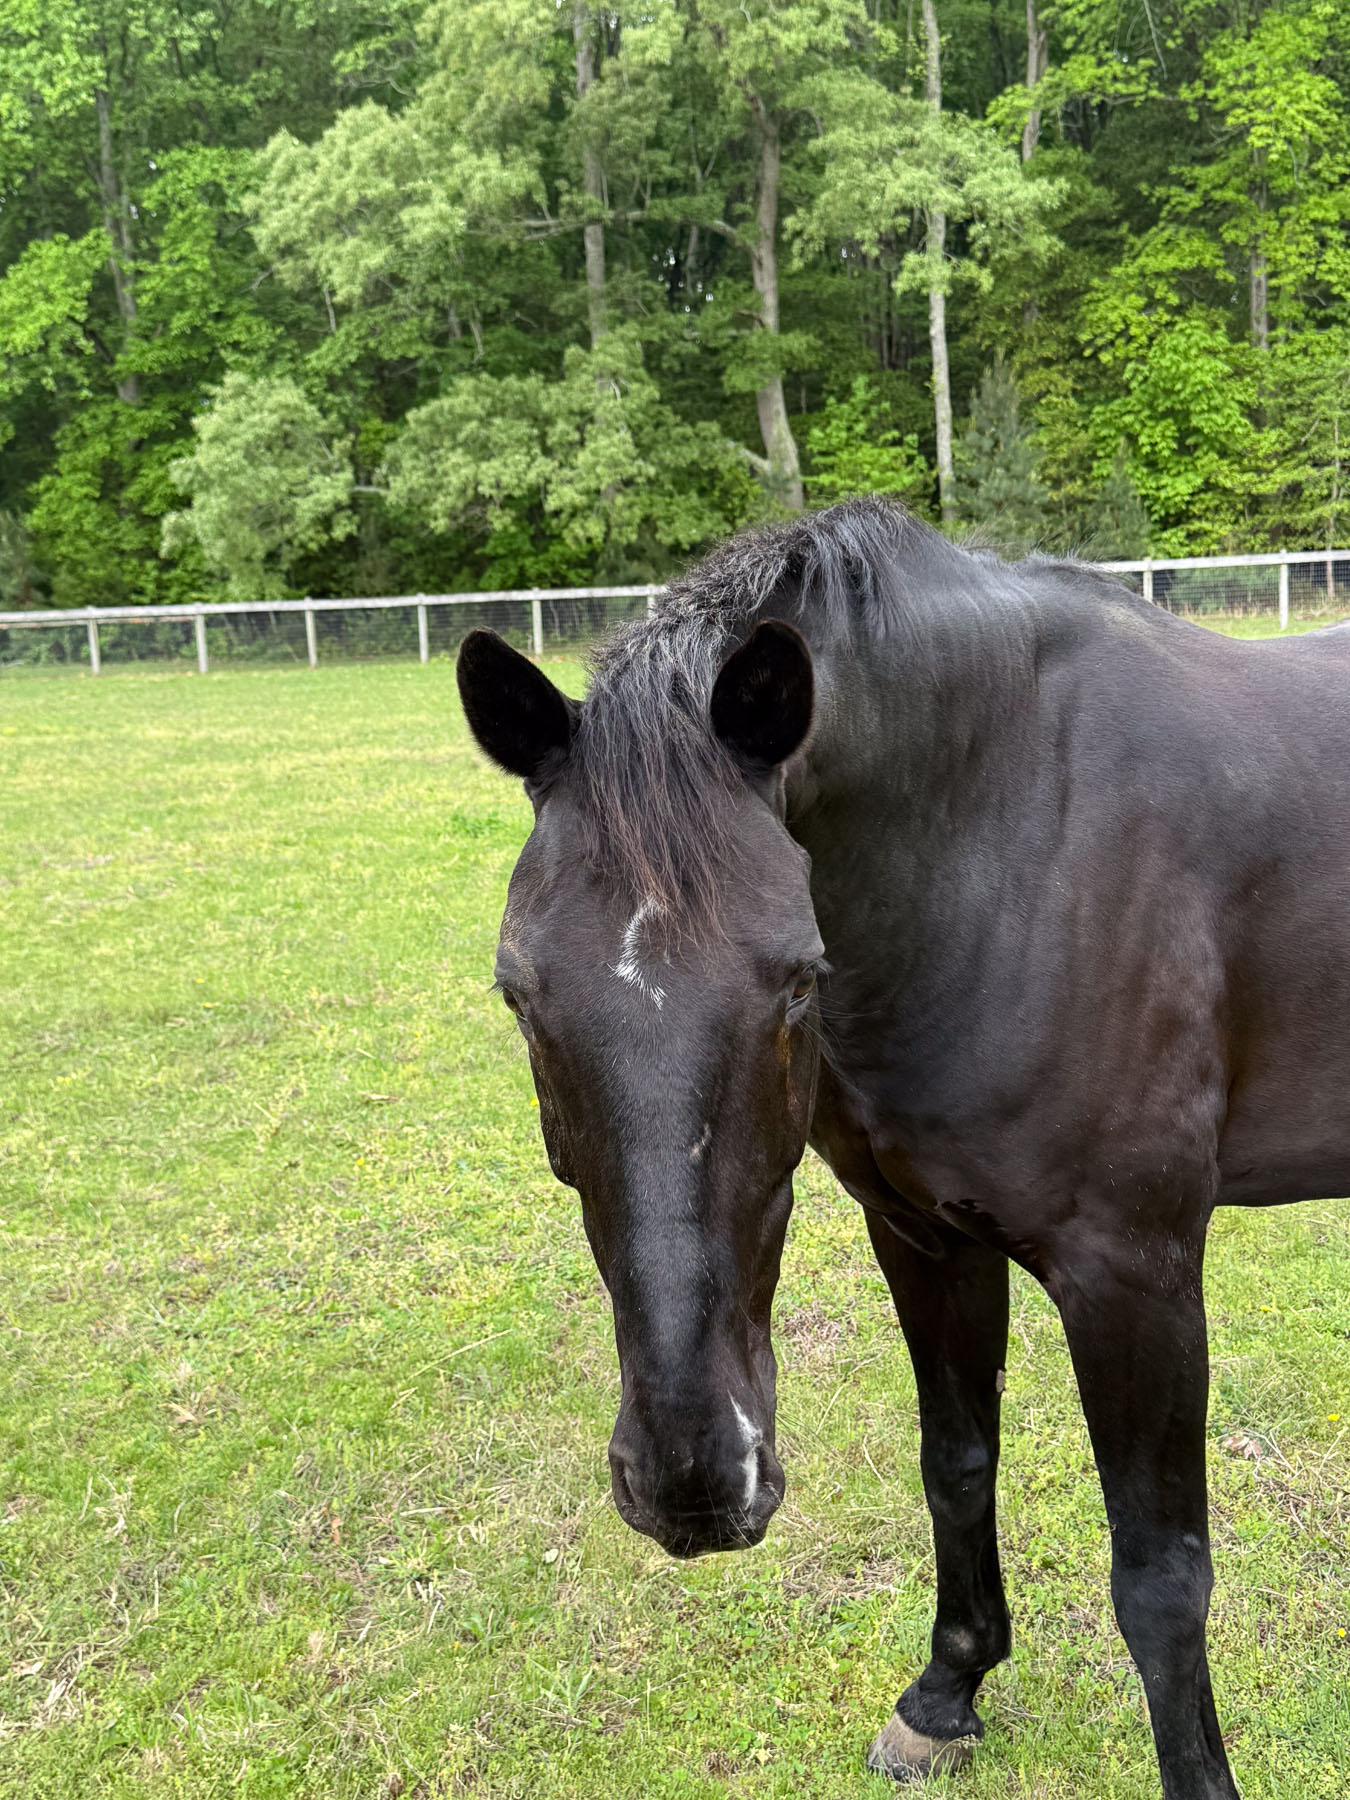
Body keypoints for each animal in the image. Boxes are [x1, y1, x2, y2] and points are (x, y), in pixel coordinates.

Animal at [455, 498, 1350, 1800]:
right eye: (520, 994)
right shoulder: (924, 1238)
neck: (1015, 837)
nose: (694, 1481)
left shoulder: (1134, 1274)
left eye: (794, 980)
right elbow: (957, 1463)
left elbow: (1161, 1574)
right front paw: (946, 1691)